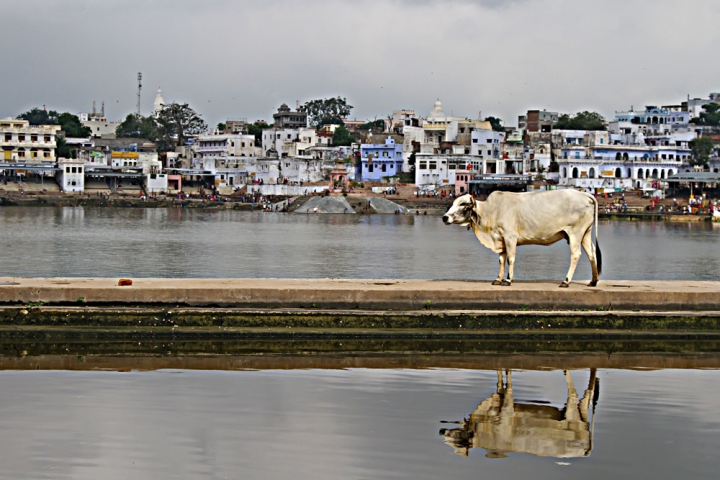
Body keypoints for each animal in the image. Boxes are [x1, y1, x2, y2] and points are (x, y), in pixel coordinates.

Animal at [438, 190, 600, 288]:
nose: (444, 217)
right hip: (585, 234)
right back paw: (593, 281)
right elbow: (501, 260)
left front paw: (508, 279)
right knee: (592, 254)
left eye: (463, 204)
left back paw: (566, 281)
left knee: (576, 255)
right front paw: (498, 279)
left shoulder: (510, 237)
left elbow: (510, 258)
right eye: (453, 203)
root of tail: (585, 195)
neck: (491, 212)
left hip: (575, 234)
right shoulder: (501, 239)